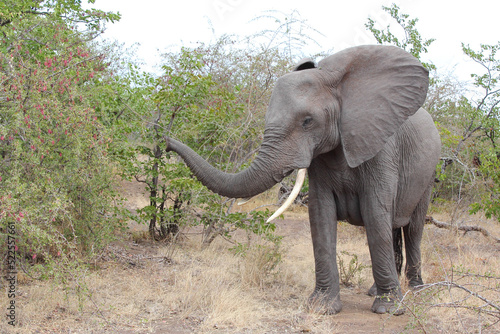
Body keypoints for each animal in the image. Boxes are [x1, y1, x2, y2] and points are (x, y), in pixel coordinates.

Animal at [165, 45, 442, 316]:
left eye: (308, 122)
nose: (165, 141)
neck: (338, 84)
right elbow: (320, 216)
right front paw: (322, 308)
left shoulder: (380, 148)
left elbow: (375, 214)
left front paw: (388, 309)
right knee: (394, 227)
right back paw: (377, 291)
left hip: (429, 173)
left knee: (413, 229)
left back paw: (415, 289)